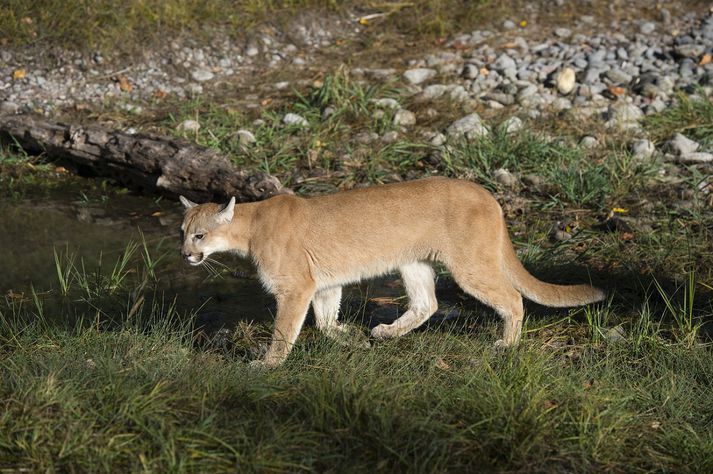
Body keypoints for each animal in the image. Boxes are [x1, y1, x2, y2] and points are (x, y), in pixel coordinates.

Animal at [178, 178, 600, 366]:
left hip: (469, 264)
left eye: (200, 235)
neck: (250, 226)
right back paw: (385, 333)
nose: (185, 255)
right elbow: (326, 321)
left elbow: (284, 330)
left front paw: (267, 364)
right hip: (412, 261)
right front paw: (351, 339)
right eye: (181, 231)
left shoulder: (295, 288)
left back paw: (507, 344)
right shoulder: (321, 284)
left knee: (511, 297)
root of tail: (486, 193)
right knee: (427, 304)